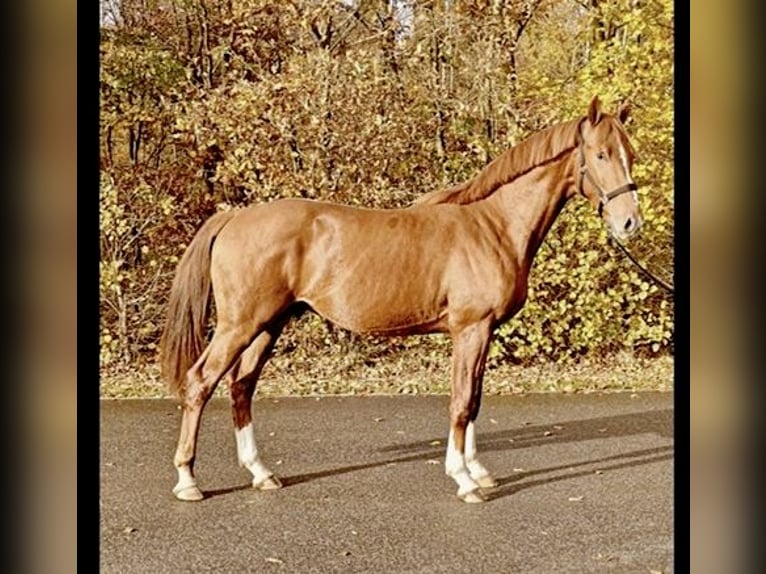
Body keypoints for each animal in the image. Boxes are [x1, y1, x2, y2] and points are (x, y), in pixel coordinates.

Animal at [160, 98, 640, 504]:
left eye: (629, 154)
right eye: (600, 155)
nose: (630, 223)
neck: (493, 225)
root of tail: (235, 217)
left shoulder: (481, 333)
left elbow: (475, 400)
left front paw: (478, 470)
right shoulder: (471, 328)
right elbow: (461, 401)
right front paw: (464, 480)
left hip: (268, 325)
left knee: (242, 386)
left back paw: (261, 473)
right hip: (239, 325)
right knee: (201, 382)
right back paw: (187, 480)